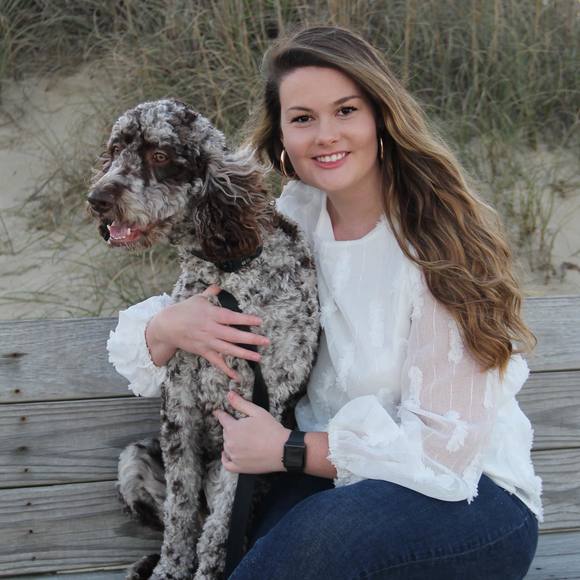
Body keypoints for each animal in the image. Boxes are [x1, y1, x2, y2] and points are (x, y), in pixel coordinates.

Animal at [87, 99, 319, 579]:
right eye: (115, 150)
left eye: (159, 155)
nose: (97, 199)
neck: (229, 275)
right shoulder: (180, 409)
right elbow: (179, 516)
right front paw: (169, 570)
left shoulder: (250, 424)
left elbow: (218, 531)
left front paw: (209, 568)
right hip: (133, 458)